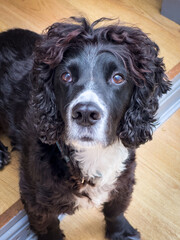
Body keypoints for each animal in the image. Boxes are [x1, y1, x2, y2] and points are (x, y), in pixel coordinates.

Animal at [0, 17, 170, 239]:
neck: (93, 154)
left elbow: (115, 209)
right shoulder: (35, 196)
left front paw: (121, 232)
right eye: (65, 76)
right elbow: (47, 225)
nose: (86, 114)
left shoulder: (123, 178)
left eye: (118, 77)